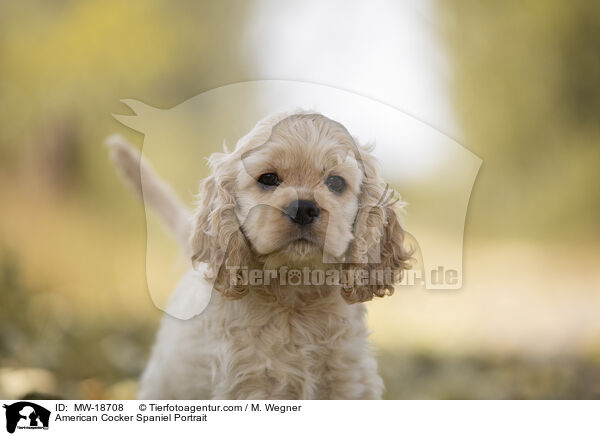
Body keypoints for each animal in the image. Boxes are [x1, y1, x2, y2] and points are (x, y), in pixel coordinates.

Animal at [106, 111, 408, 398]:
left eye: (336, 182)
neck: (295, 295)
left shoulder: (349, 380)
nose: (303, 209)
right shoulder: (249, 382)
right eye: (268, 179)